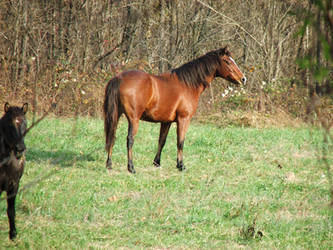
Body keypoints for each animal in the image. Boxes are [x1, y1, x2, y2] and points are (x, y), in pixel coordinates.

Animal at [102, 47, 245, 173]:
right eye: (227, 61)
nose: (243, 79)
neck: (187, 84)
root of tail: (119, 78)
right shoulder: (183, 119)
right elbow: (180, 142)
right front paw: (181, 165)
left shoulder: (166, 122)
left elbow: (162, 141)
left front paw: (157, 163)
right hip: (133, 119)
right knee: (130, 140)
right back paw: (131, 167)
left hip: (116, 115)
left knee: (112, 136)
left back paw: (109, 164)